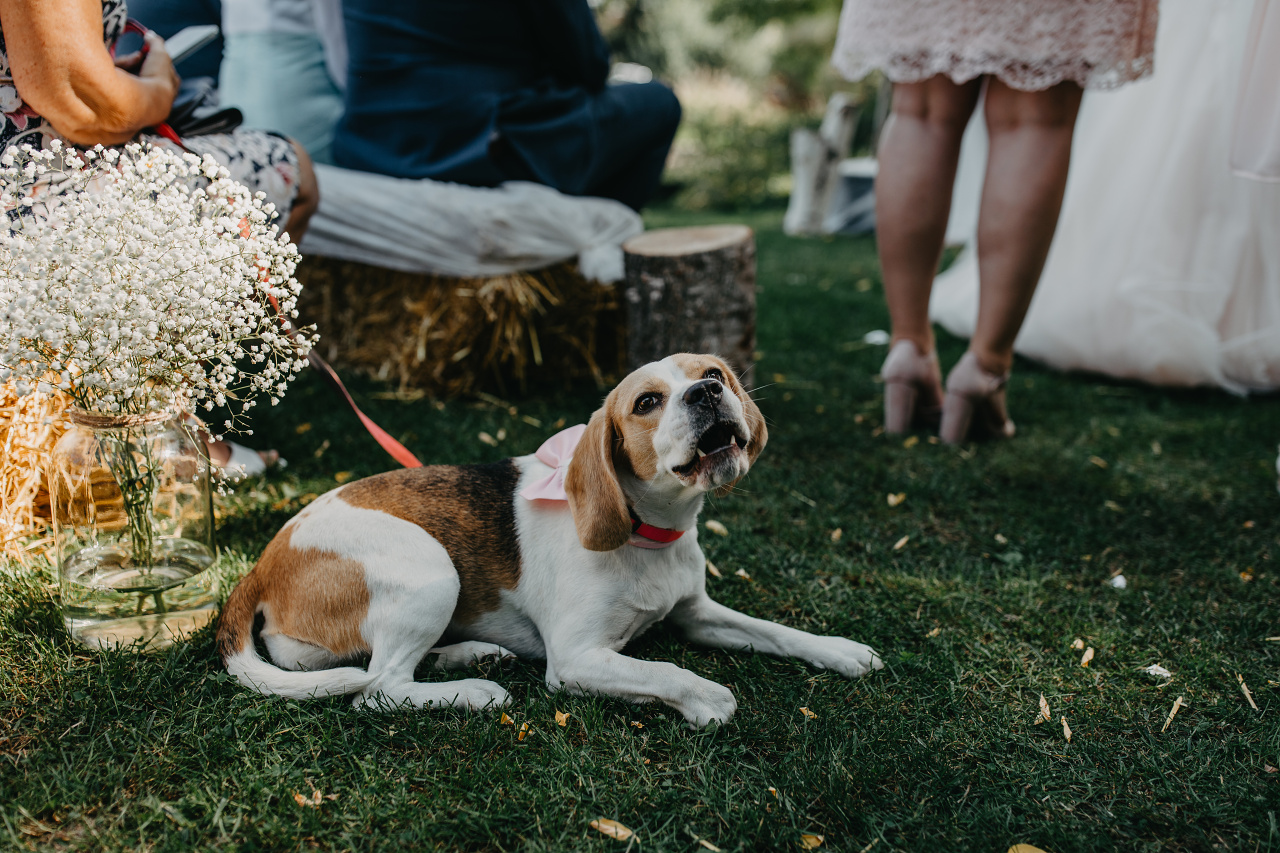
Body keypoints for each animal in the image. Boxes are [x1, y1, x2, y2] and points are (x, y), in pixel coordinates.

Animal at [217, 348, 880, 722]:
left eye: (714, 373)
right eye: (647, 402)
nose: (708, 391)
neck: (649, 536)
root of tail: (264, 562)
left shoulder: (697, 613)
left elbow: (773, 631)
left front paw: (839, 650)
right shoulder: (578, 658)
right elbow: (663, 672)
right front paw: (706, 698)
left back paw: (465, 652)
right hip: (431, 569)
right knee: (378, 689)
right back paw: (474, 691)